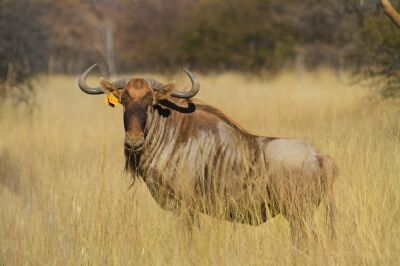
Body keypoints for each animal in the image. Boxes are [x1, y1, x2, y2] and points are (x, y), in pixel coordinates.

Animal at [77, 64, 338, 245]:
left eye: (151, 100)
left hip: (298, 215)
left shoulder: (184, 209)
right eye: (124, 100)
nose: (133, 141)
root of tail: (322, 157)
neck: (171, 134)